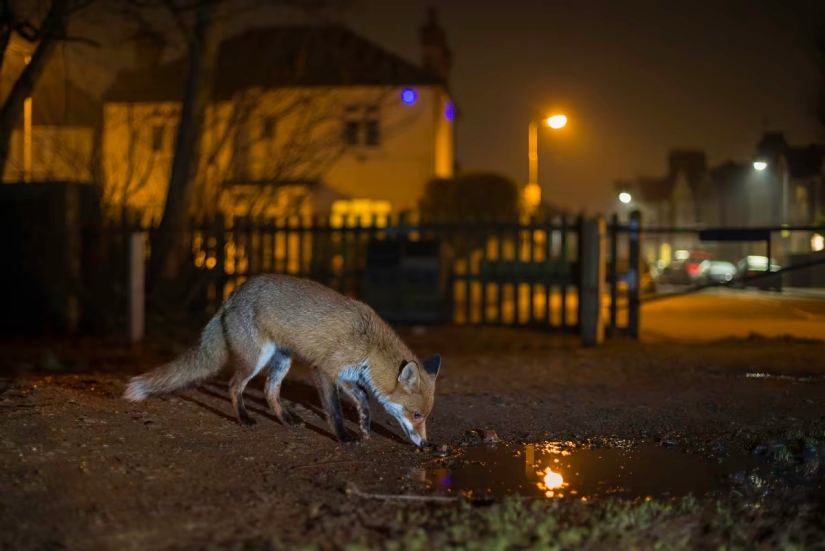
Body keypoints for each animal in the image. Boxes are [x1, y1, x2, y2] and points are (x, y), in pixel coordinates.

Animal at [123, 273, 441, 448]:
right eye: (416, 415)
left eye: (425, 417)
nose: (425, 444)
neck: (370, 346)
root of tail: (232, 294)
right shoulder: (324, 370)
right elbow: (335, 411)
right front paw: (344, 436)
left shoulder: (347, 375)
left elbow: (363, 399)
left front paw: (365, 427)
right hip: (256, 358)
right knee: (233, 385)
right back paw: (245, 419)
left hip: (282, 361)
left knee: (268, 391)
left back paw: (287, 419)